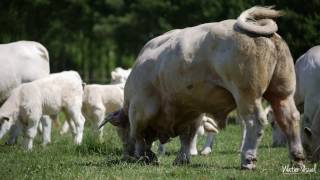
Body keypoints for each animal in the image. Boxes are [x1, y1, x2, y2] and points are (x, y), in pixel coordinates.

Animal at [100, 5, 304, 169]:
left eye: (120, 131)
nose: (126, 156)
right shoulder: (192, 111)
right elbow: (187, 138)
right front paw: (181, 160)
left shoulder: (140, 110)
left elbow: (140, 136)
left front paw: (144, 156)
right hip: (282, 91)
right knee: (290, 117)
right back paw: (297, 160)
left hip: (247, 93)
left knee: (255, 121)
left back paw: (248, 160)